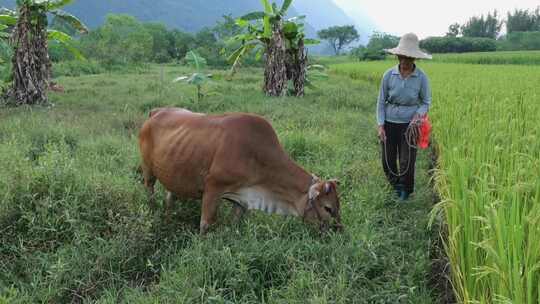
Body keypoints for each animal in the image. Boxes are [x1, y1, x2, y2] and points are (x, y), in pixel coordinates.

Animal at [139, 108, 342, 234]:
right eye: (328, 208)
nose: (338, 231)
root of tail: (155, 112)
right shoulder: (213, 188)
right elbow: (205, 224)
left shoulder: (242, 199)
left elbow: (235, 224)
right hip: (148, 170)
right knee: (149, 191)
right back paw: (152, 212)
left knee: (169, 197)